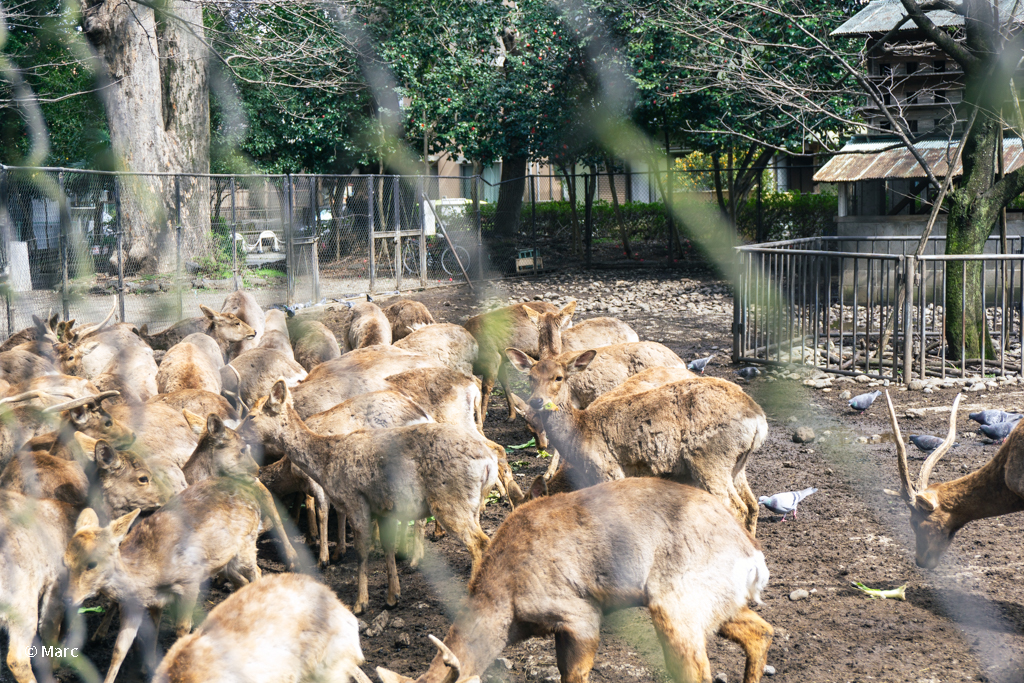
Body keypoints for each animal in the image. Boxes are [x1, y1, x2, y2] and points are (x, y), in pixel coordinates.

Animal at [249, 378, 501, 614]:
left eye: (251, 416)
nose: (241, 437)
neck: (326, 463)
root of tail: (488, 464)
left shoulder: (355, 499)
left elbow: (361, 550)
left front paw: (360, 603)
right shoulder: (383, 507)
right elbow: (387, 546)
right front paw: (392, 597)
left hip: (451, 501)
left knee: (478, 542)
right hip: (472, 505)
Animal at [380, 479, 770, 683]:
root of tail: (753, 557)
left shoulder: (580, 612)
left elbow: (574, 674)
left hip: (676, 602)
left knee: (698, 670)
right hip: (713, 600)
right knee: (761, 631)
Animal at [507, 350, 765, 536]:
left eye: (558, 377)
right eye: (530, 378)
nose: (537, 401)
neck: (580, 436)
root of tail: (759, 421)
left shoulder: (609, 470)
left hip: (710, 458)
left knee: (736, 507)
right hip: (736, 464)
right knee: (751, 503)